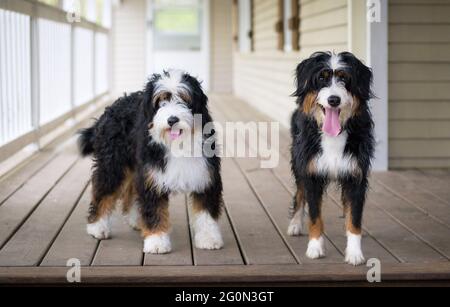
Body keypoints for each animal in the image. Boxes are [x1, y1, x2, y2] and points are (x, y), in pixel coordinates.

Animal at [79, 70, 225, 255]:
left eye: (184, 99)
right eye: (161, 101)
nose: (172, 120)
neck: (177, 143)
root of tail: (111, 108)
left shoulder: (205, 176)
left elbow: (205, 211)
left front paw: (208, 238)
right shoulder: (153, 177)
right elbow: (155, 210)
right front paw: (157, 241)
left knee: (131, 192)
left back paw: (134, 219)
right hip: (113, 165)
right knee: (103, 191)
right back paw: (97, 227)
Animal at [288, 51, 376, 266]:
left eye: (345, 79)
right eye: (322, 78)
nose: (334, 100)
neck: (333, 135)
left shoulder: (356, 175)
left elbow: (354, 216)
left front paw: (354, 252)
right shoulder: (311, 174)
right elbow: (314, 215)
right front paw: (315, 248)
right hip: (298, 163)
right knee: (299, 194)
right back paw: (294, 224)